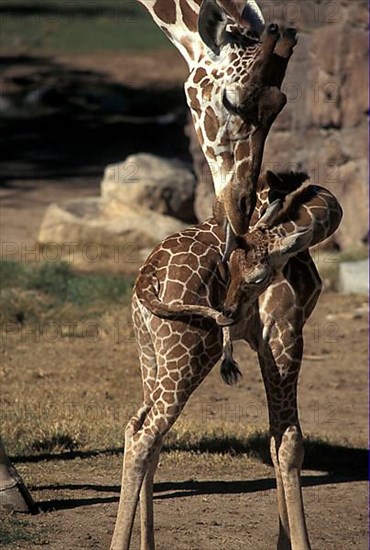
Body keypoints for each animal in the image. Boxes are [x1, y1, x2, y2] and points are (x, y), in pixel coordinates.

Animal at [110, 174, 344, 550]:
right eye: (228, 270)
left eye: (255, 277)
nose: (229, 312)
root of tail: (148, 279)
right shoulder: (284, 333)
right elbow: (290, 442)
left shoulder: (265, 343)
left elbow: (274, 440)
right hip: (189, 353)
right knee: (146, 437)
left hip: (149, 350)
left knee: (140, 430)